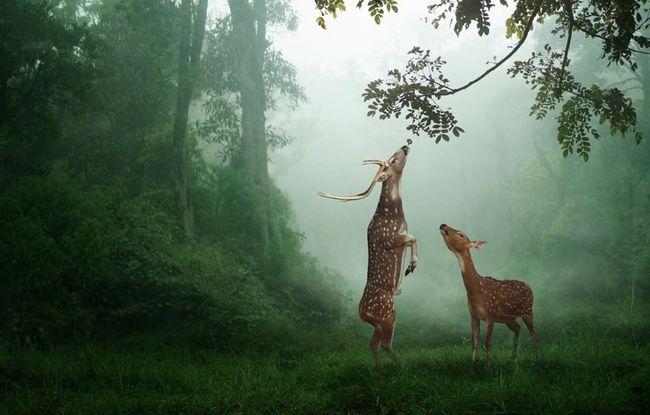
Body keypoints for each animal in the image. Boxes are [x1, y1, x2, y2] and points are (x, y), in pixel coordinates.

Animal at [318, 146, 416, 370]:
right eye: (393, 160)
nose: (405, 145)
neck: (394, 213)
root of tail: (362, 314)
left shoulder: (402, 237)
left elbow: (412, 241)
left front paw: (408, 270)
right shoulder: (392, 238)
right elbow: (414, 238)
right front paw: (412, 266)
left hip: (380, 322)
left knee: (373, 343)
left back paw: (380, 369)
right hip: (388, 314)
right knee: (385, 343)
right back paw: (400, 365)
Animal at [438, 224, 540, 368]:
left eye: (460, 234)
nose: (443, 225)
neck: (477, 291)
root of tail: (530, 287)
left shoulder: (491, 314)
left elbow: (487, 342)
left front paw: (488, 366)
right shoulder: (473, 315)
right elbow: (474, 342)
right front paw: (473, 365)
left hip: (528, 311)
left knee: (533, 333)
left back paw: (537, 359)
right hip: (508, 318)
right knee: (518, 328)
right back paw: (512, 358)